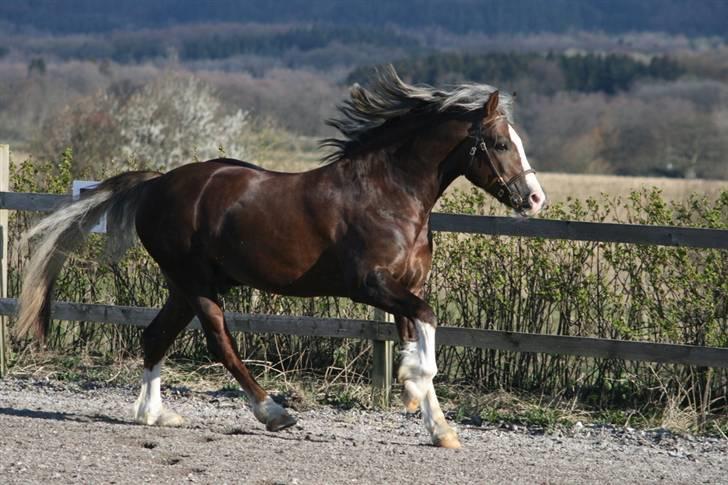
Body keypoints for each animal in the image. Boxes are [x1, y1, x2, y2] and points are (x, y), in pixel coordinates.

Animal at [15, 66, 544, 448]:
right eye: (500, 143)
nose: (535, 199)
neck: (389, 194)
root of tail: (156, 183)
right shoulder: (372, 286)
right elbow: (428, 336)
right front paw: (414, 391)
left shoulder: (405, 289)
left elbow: (419, 341)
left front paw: (438, 428)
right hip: (196, 284)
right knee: (220, 344)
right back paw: (273, 413)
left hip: (187, 286)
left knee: (154, 337)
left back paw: (155, 415)